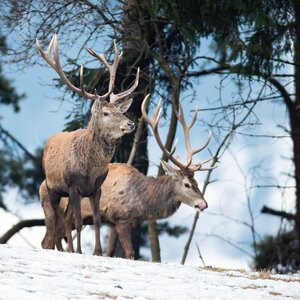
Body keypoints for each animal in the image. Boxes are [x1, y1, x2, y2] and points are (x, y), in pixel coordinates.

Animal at [36, 35, 138, 255]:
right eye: (106, 113)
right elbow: (79, 222)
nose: (131, 123)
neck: (90, 170)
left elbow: (97, 220)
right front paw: (81, 251)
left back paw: (66, 249)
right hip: (52, 189)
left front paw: (97, 252)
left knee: (62, 223)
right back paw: (59, 248)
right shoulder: (73, 186)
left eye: (121, 111)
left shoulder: (95, 189)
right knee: (53, 226)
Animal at [40, 94, 213, 258]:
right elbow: (130, 253)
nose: (203, 204)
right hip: (49, 209)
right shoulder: (122, 218)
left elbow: (111, 251)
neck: (143, 202)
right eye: (186, 184)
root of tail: (42, 186)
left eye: (197, 183)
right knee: (46, 239)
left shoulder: (117, 223)